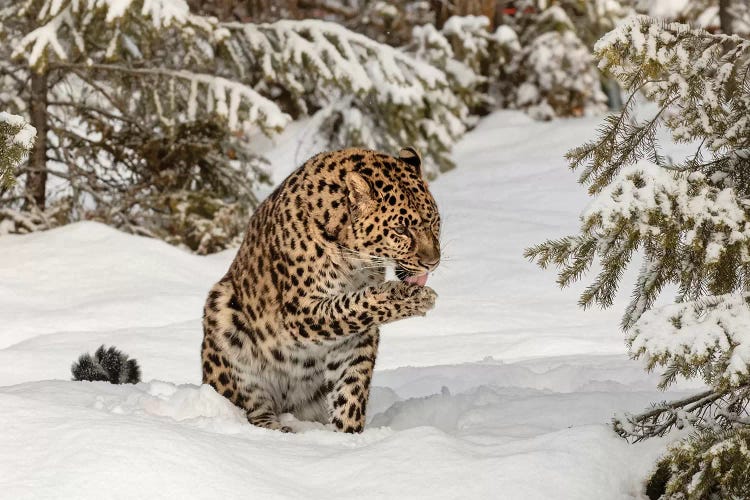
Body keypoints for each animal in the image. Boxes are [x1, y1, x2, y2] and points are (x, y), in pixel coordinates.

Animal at [203, 146, 444, 434]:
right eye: (401, 229)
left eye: (435, 222)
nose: (433, 262)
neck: (355, 260)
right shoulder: (299, 311)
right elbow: (354, 305)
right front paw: (413, 297)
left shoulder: (356, 339)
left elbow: (352, 386)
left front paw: (347, 435)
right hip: (222, 309)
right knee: (251, 407)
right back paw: (278, 431)